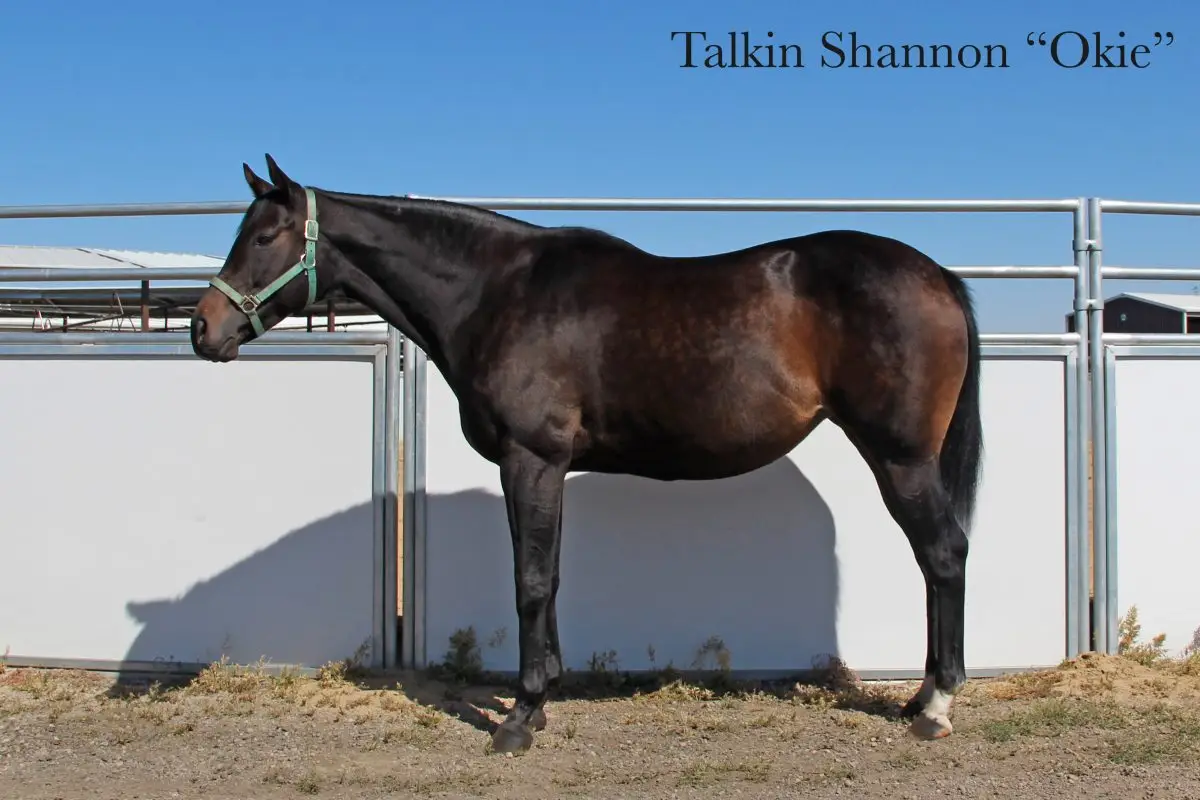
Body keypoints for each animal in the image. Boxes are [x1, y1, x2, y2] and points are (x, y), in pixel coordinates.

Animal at [190, 154, 983, 754]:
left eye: (265, 236)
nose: (203, 329)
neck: (496, 291)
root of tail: (938, 276)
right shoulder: (543, 467)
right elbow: (549, 576)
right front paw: (542, 699)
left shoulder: (531, 458)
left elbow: (531, 582)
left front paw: (518, 717)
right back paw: (918, 697)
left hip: (901, 459)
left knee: (943, 554)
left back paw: (935, 707)